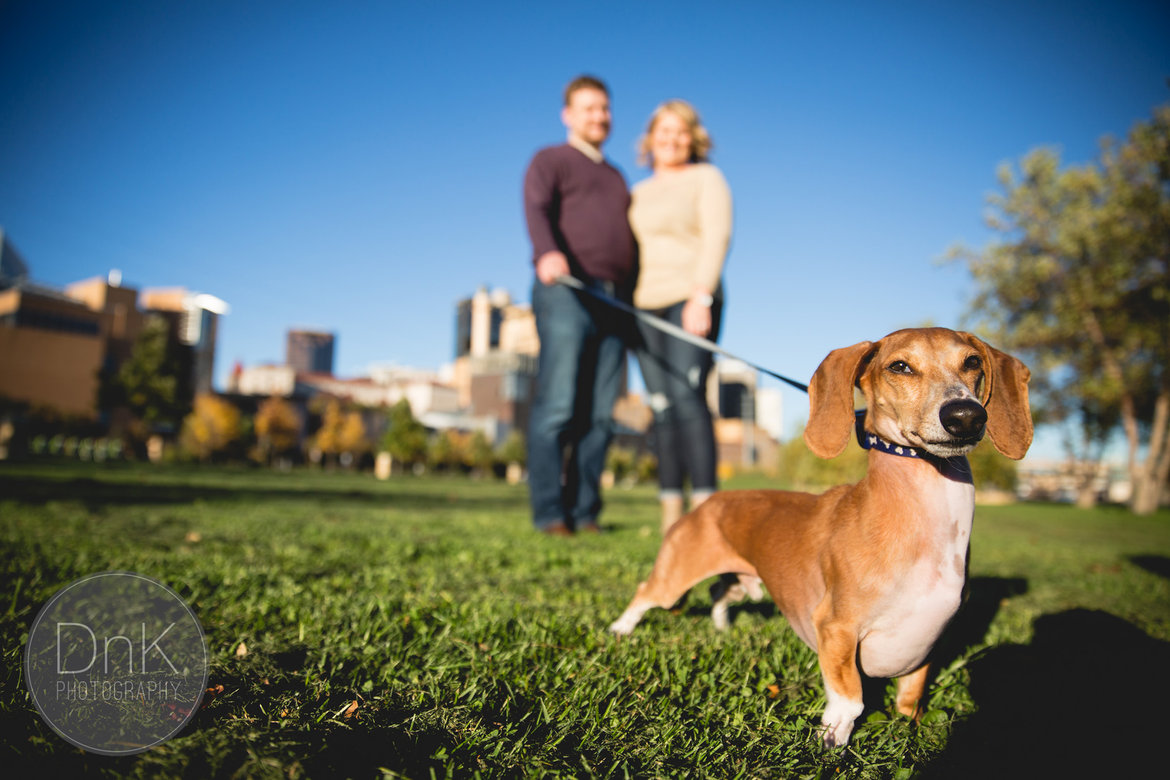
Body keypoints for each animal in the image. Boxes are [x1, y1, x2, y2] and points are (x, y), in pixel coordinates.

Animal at [608, 327, 1029, 748]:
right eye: (900, 366)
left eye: (972, 362)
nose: (966, 415)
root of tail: (710, 501)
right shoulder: (836, 627)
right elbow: (850, 698)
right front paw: (832, 736)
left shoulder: (925, 646)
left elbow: (911, 697)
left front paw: (911, 725)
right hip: (674, 577)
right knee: (646, 592)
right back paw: (620, 630)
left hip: (741, 582)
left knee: (718, 593)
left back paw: (722, 627)